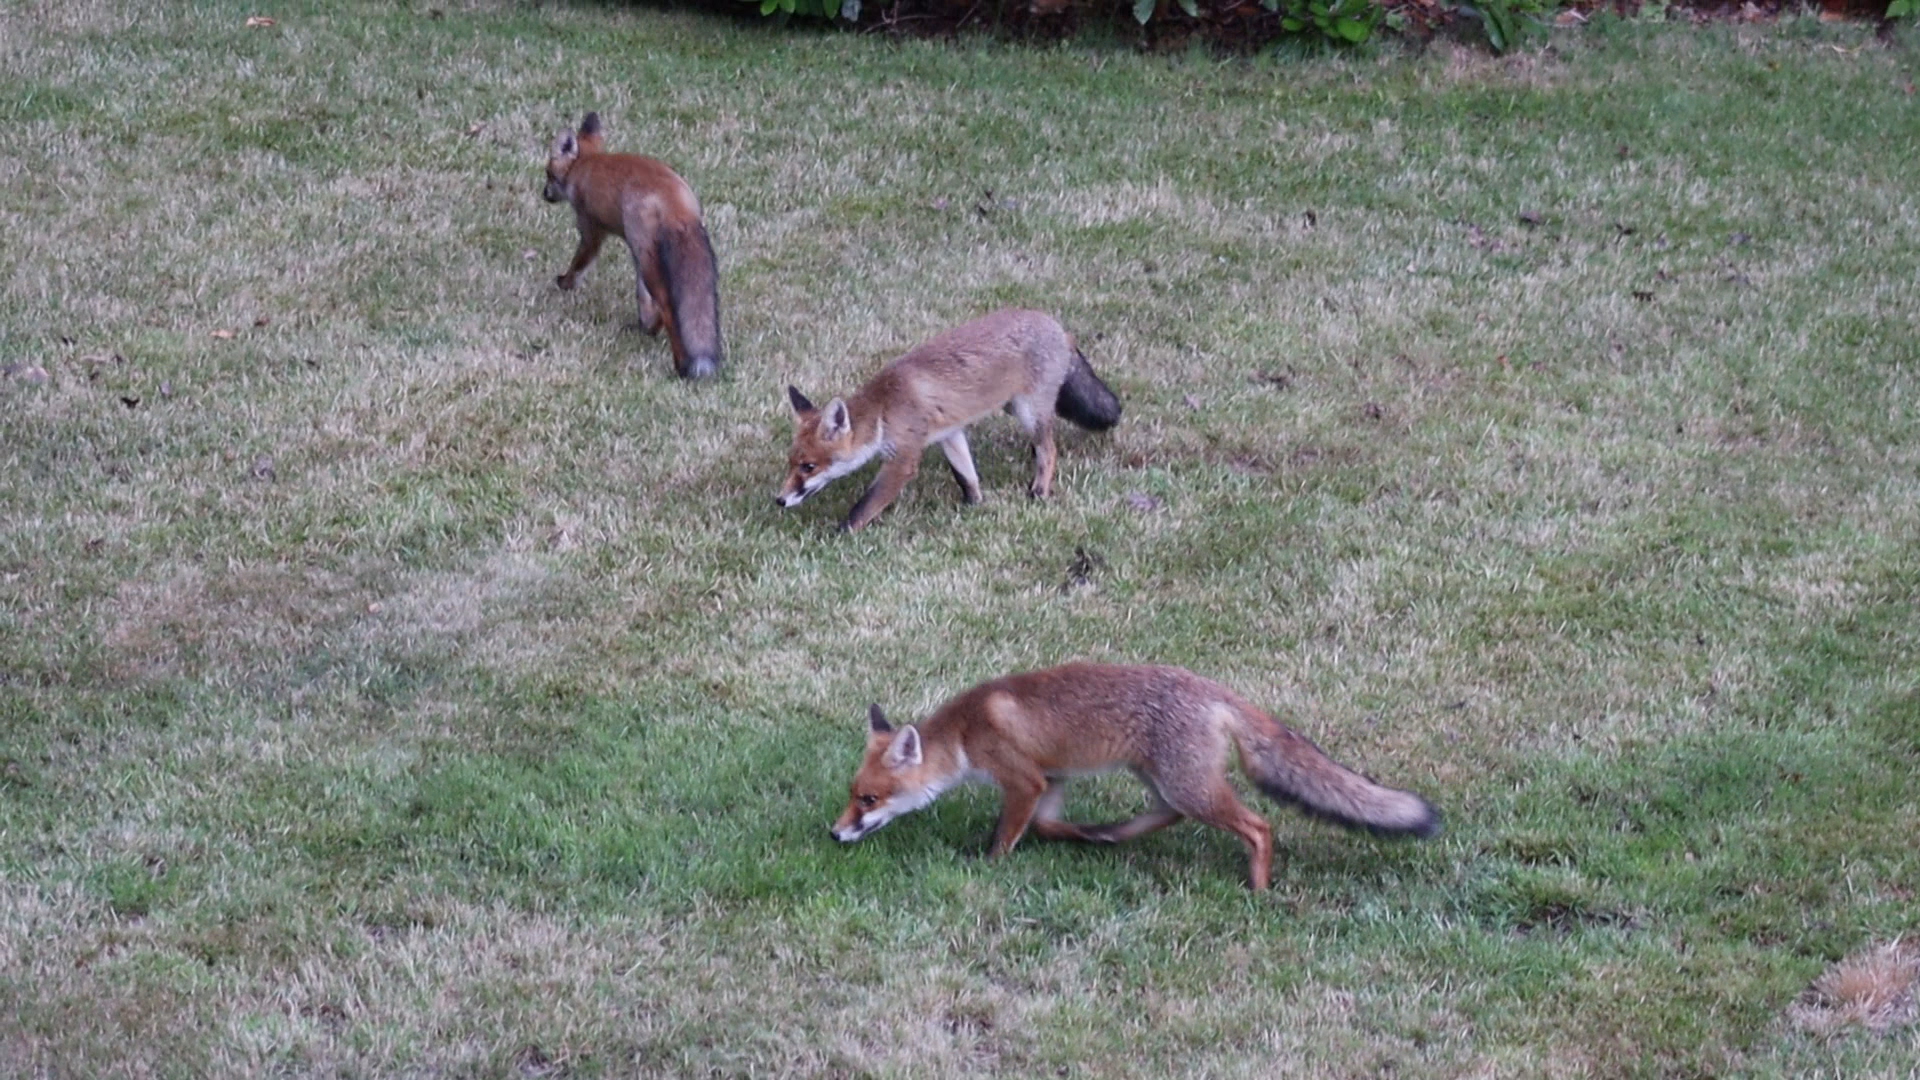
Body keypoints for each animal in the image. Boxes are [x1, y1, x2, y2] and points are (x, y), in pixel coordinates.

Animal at [542, 111, 723, 379]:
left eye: (548, 174)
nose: (544, 194)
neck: (586, 164)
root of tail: (678, 203)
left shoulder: (591, 231)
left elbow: (578, 264)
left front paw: (565, 283)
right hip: (643, 260)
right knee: (656, 305)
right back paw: (646, 329)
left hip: (645, 259)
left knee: (667, 306)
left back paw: (680, 363)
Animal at [777, 308, 1122, 532]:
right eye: (791, 463)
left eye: (809, 467)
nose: (779, 500)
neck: (885, 408)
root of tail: (1060, 328)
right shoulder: (950, 434)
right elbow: (966, 476)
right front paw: (974, 507)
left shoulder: (903, 458)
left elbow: (864, 506)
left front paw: (837, 535)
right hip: (1014, 407)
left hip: (1028, 412)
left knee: (1050, 450)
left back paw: (1038, 491)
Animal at [831, 663, 1441, 890]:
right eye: (852, 796)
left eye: (869, 798)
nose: (835, 834)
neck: (964, 731)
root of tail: (1217, 691)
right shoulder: (1051, 780)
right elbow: (1049, 826)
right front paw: (1085, 836)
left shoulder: (1023, 782)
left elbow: (1007, 837)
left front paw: (988, 868)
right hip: (1164, 782)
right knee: (1166, 816)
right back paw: (1114, 835)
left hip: (1190, 789)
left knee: (1259, 825)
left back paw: (1260, 887)